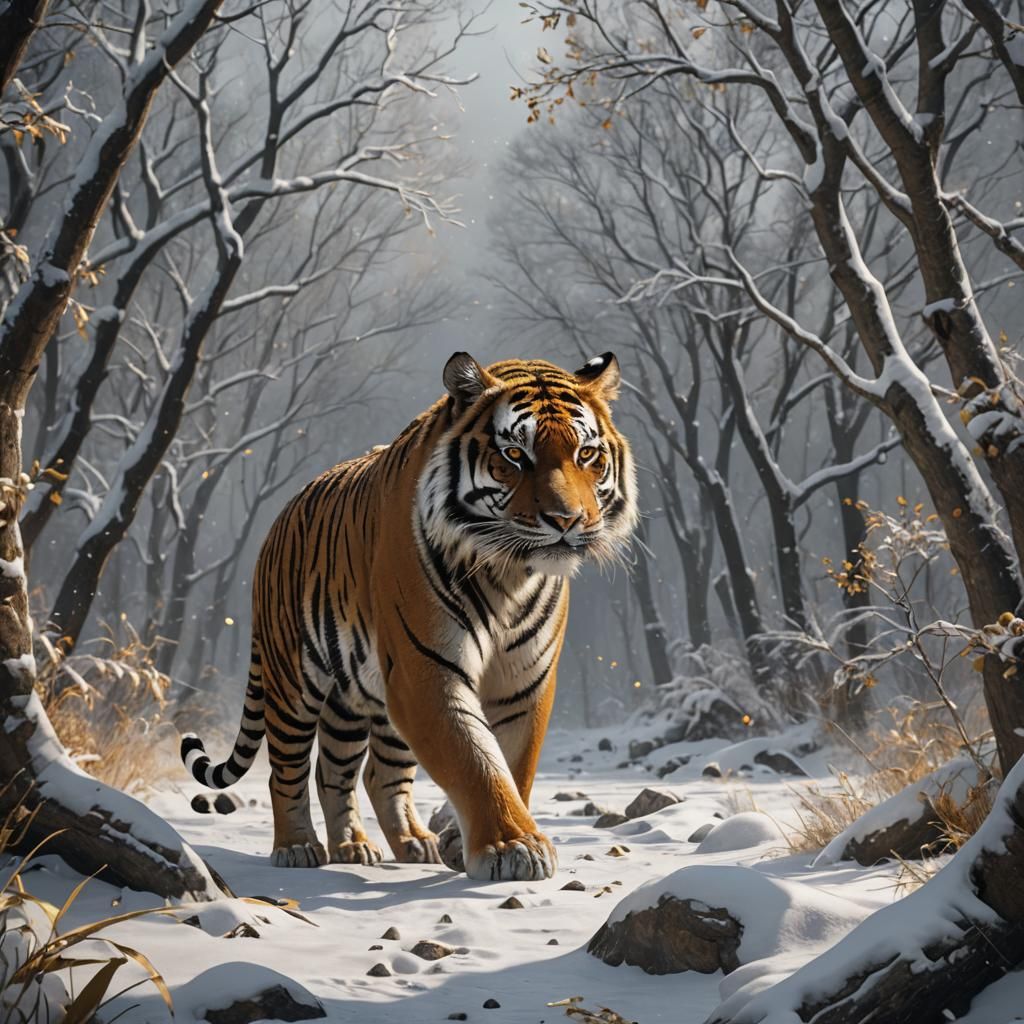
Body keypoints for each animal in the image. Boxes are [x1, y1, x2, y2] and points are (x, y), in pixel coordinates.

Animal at [180, 352, 636, 881]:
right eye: (514, 455)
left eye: (586, 455)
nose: (567, 521)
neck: (507, 575)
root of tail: (278, 521)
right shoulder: (427, 671)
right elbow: (474, 761)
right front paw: (514, 848)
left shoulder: (524, 681)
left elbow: (510, 764)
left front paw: (470, 843)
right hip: (292, 679)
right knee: (288, 768)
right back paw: (297, 847)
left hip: (359, 697)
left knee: (352, 771)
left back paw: (381, 845)